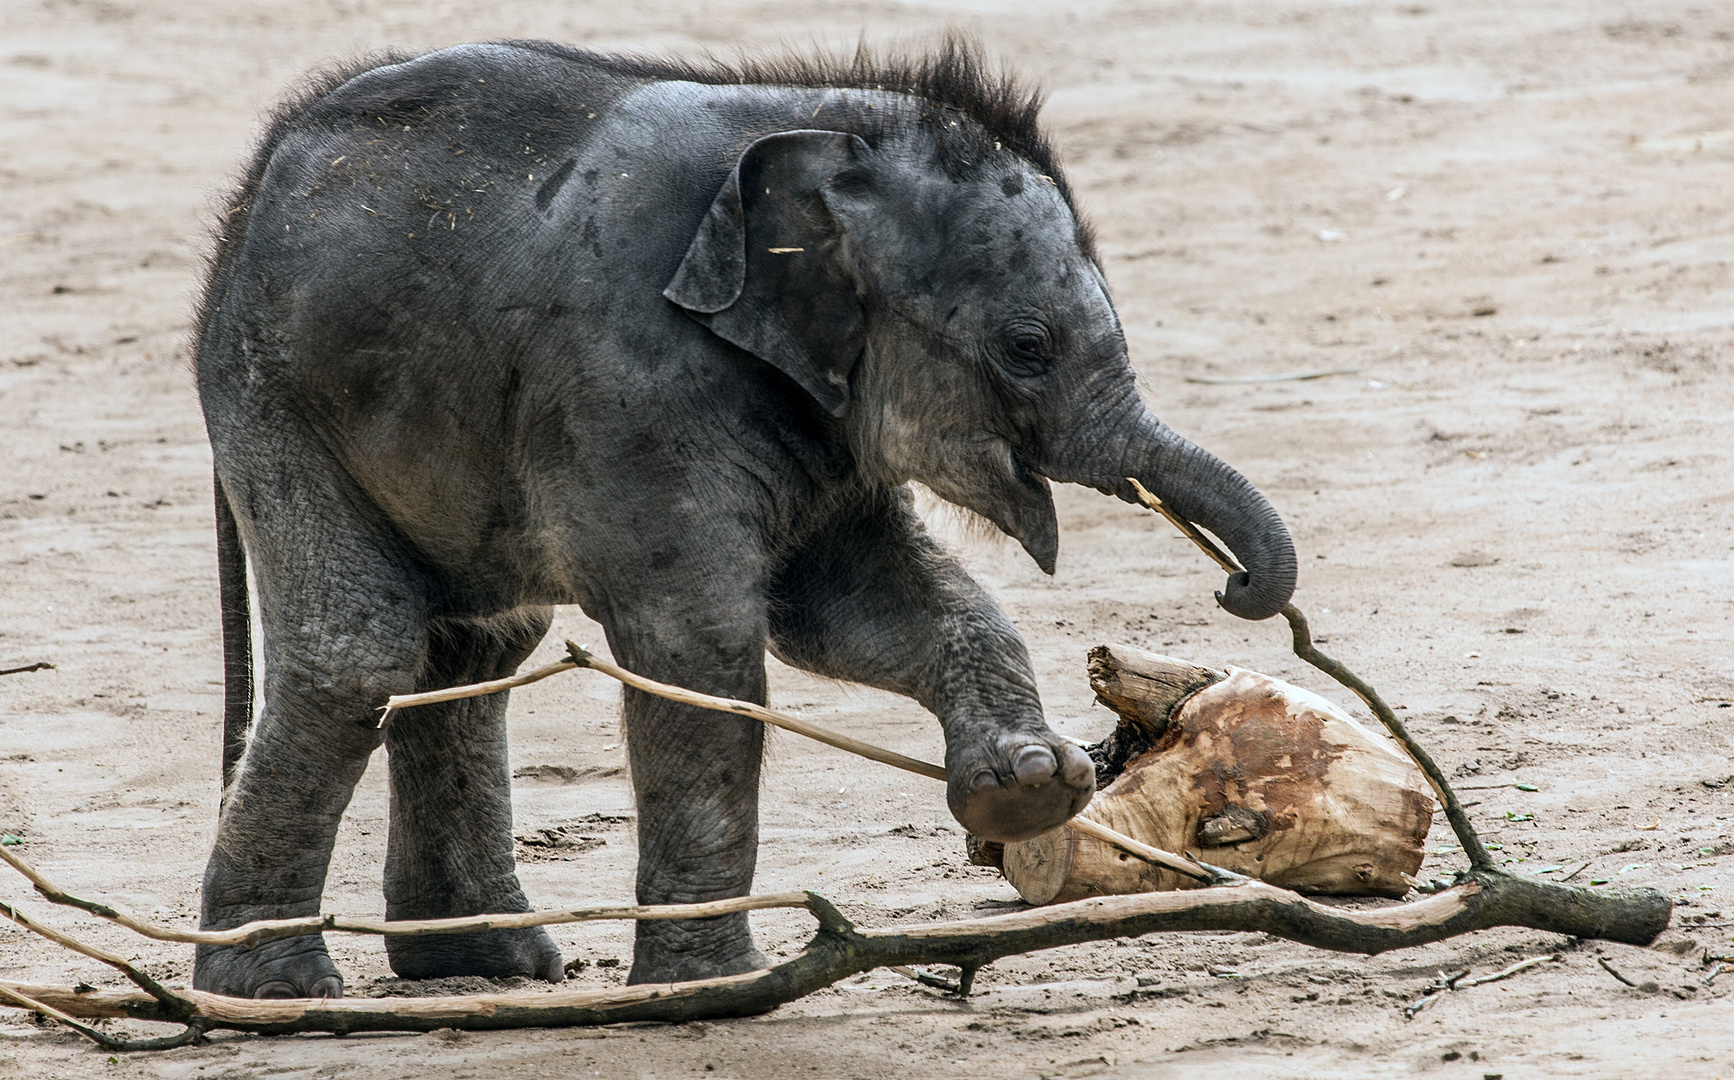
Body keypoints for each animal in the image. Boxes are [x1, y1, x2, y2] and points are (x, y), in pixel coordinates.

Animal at [196, 42, 1297, 1005]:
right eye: (1028, 346)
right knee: (360, 656)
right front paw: (716, 991)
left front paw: (1033, 786)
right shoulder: (629, 383)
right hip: (273, 403)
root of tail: (244, 194)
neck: (814, 121)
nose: (1234, 584)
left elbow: (864, 608)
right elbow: (704, 644)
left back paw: (489, 967)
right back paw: (275, 990)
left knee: (476, 649)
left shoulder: (817, 405)